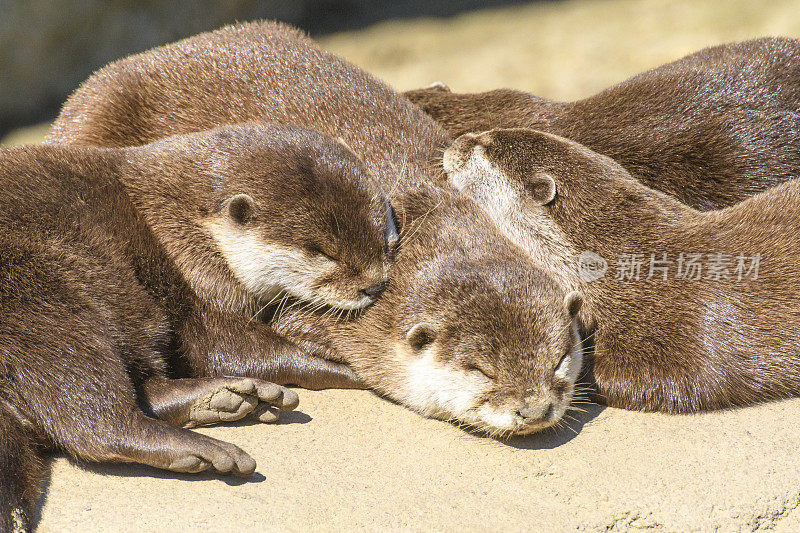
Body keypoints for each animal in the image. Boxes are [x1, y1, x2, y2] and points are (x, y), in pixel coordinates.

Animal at [0, 121, 400, 532]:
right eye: (322, 253)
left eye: (387, 240)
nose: (374, 286)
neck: (174, 215)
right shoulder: (192, 274)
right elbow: (226, 347)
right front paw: (349, 370)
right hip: (46, 296)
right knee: (93, 417)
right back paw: (207, 448)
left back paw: (224, 399)